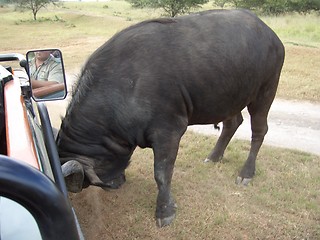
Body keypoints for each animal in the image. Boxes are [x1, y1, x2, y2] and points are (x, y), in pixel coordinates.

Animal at [57, 9, 284, 227]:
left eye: (85, 183)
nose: (116, 184)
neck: (124, 87)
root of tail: (271, 35)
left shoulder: (168, 132)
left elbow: (161, 173)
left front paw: (164, 211)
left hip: (264, 92)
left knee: (259, 131)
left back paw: (246, 173)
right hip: (229, 97)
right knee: (233, 123)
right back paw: (213, 156)